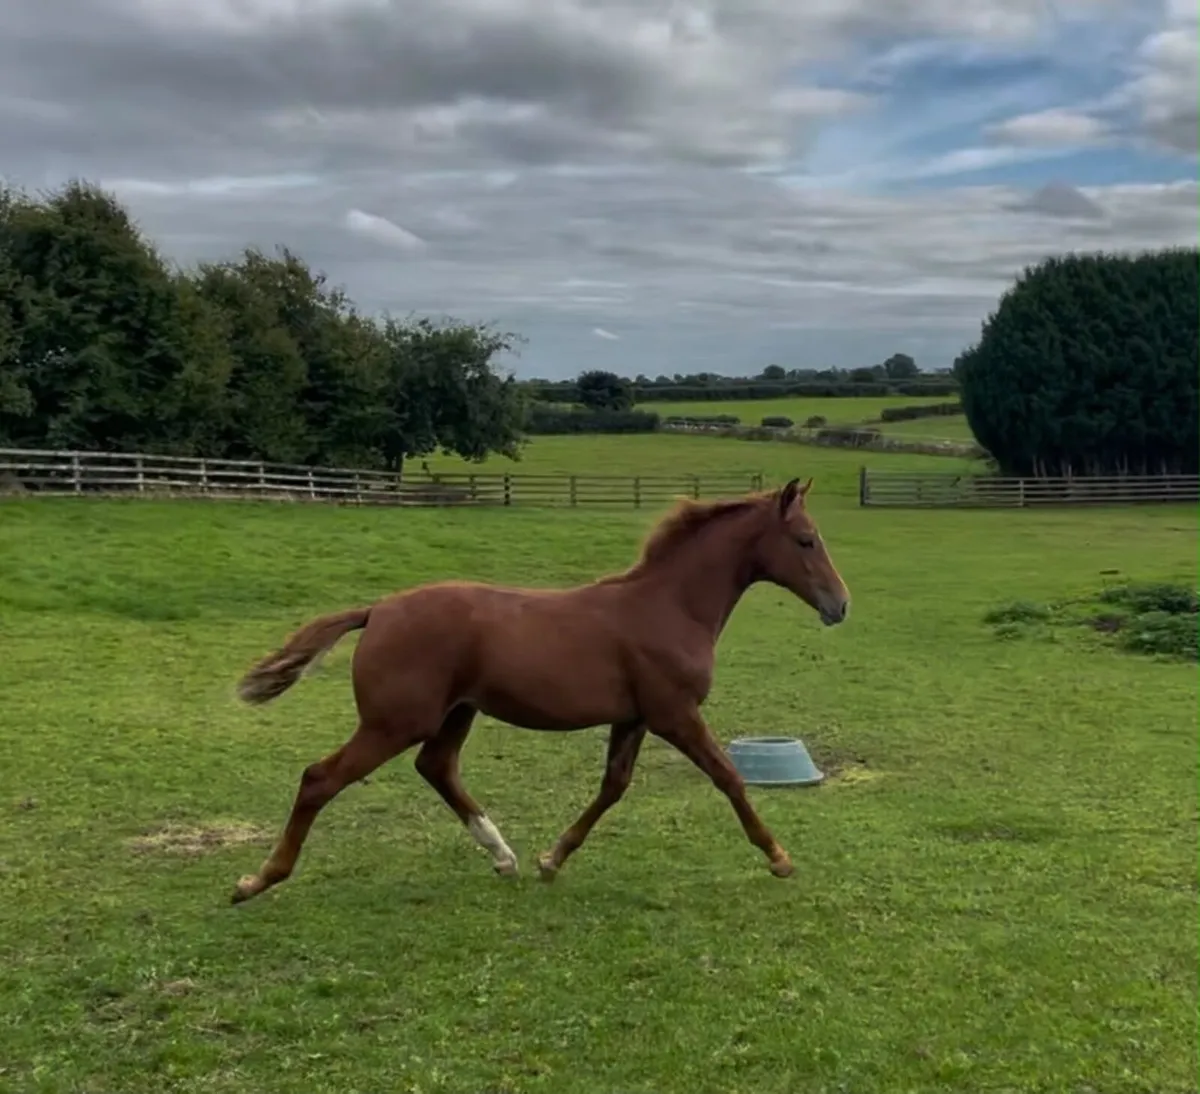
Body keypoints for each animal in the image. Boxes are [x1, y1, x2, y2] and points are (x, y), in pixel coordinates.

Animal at [230, 476, 850, 904]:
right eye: (805, 540)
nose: (841, 605)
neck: (669, 606)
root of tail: (377, 610)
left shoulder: (635, 717)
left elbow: (613, 786)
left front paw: (551, 859)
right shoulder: (675, 713)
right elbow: (727, 776)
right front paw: (779, 857)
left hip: (455, 714)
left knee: (437, 767)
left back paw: (504, 857)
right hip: (394, 722)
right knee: (320, 778)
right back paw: (257, 881)